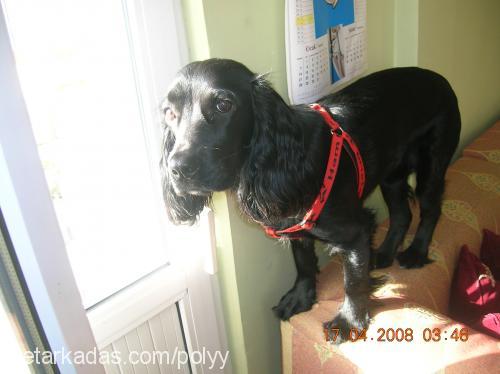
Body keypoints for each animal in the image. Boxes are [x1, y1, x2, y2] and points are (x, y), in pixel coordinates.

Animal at [160, 59, 460, 342]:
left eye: (224, 104)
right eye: (169, 112)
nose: (178, 169)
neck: (290, 160)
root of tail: (439, 78)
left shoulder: (356, 231)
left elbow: (353, 281)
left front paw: (349, 321)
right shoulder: (294, 226)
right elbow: (303, 263)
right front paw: (301, 298)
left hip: (431, 166)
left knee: (431, 210)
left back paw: (416, 252)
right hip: (391, 177)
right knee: (401, 214)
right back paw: (384, 253)